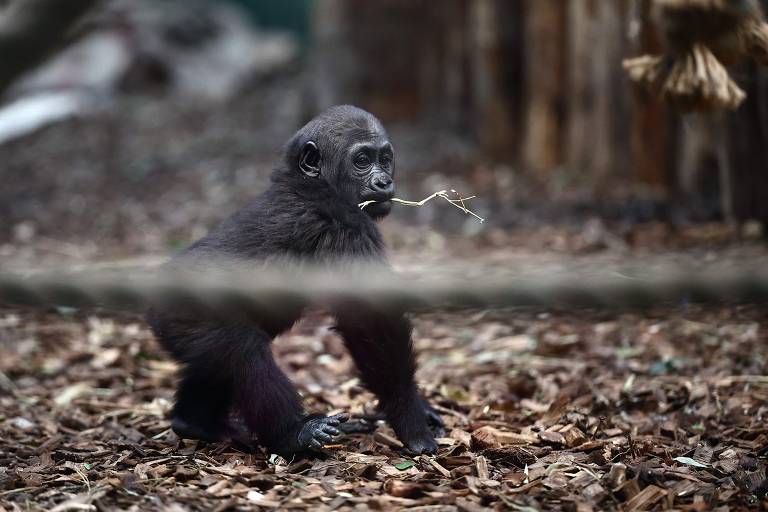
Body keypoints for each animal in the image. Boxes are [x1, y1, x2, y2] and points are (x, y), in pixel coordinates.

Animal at [147, 105, 444, 456]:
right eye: (361, 160)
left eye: (384, 158)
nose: (384, 180)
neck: (307, 183)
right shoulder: (346, 224)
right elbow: (370, 320)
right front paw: (411, 418)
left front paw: (421, 409)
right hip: (186, 313)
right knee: (243, 353)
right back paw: (295, 433)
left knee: (215, 363)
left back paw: (194, 422)